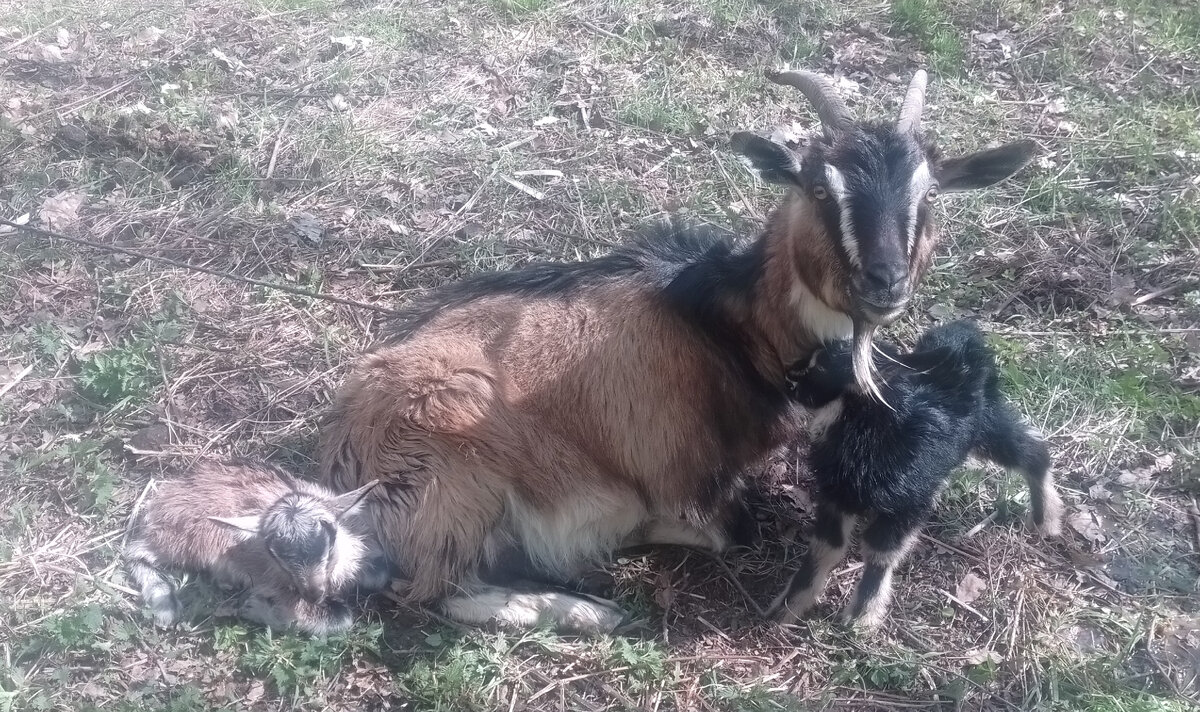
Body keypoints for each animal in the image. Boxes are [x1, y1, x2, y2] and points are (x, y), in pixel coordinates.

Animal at [319, 69, 1041, 629]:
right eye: (818, 187)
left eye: (930, 192)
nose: (884, 282)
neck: (725, 325)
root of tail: (348, 450)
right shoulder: (678, 465)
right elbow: (730, 525)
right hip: (457, 481)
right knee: (432, 592)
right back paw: (589, 606)